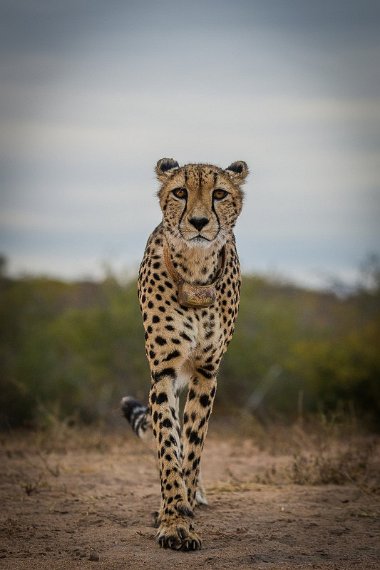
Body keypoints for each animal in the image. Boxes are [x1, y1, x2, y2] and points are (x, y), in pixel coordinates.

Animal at [120, 158, 248, 548]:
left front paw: (186, 506)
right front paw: (174, 519)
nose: (199, 222)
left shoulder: (206, 373)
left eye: (219, 193)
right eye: (180, 192)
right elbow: (168, 444)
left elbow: (192, 447)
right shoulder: (164, 372)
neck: (195, 266)